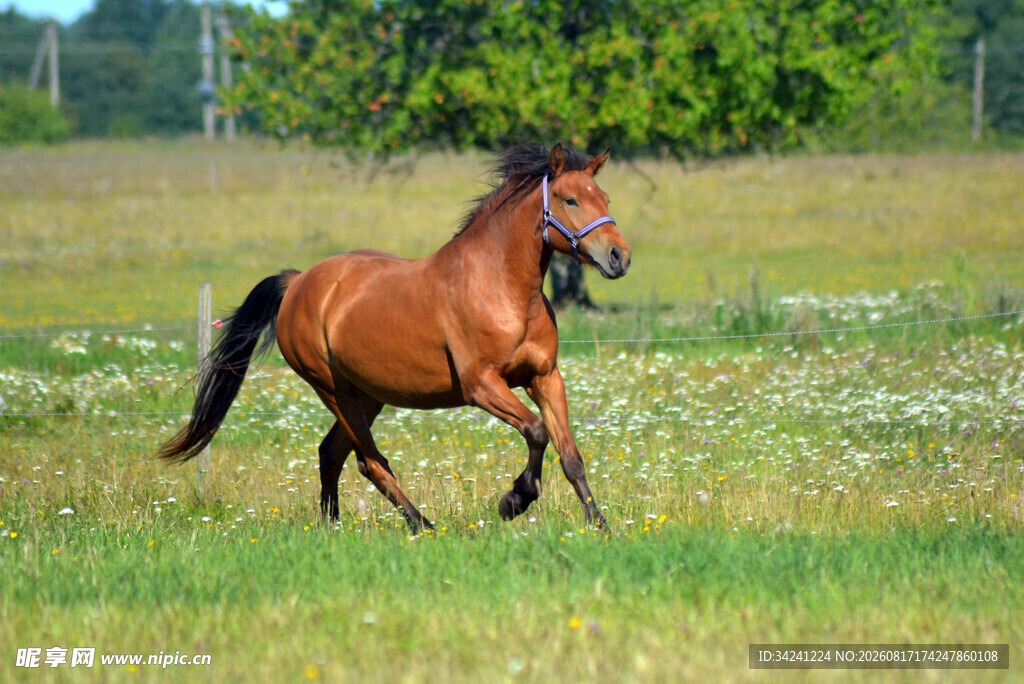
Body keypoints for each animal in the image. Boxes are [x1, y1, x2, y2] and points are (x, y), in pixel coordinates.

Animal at [158, 143, 631, 532]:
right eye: (570, 199)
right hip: (334, 390)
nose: (618, 257)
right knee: (369, 462)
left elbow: (570, 456)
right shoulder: (481, 385)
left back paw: (333, 526)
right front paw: (514, 500)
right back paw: (422, 524)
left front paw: (599, 525)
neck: (501, 287)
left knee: (330, 453)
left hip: (369, 394)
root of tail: (298, 282)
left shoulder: (545, 378)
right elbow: (536, 431)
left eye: (606, 198)